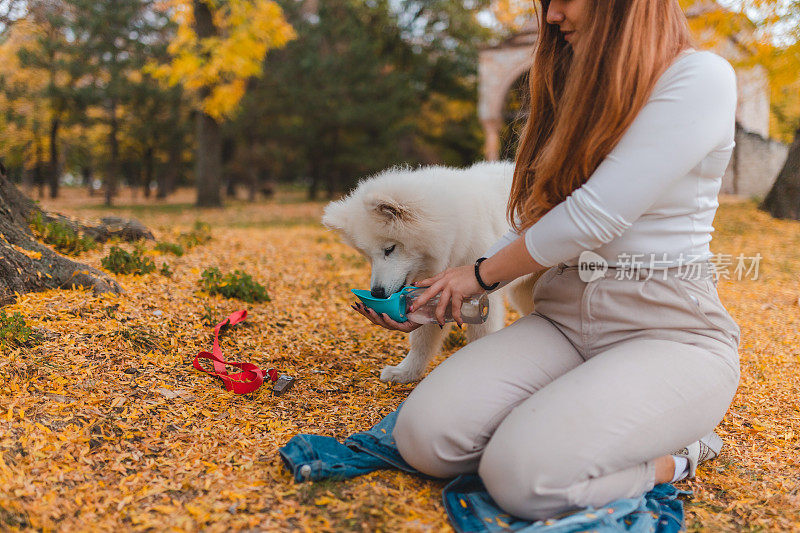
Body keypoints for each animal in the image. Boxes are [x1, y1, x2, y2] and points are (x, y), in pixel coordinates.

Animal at [318, 159, 536, 382]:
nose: (376, 292)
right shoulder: (434, 292)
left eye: (389, 249)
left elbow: (479, 335)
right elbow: (421, 339)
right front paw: (405, 373)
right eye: (368, 257)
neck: (456, 230)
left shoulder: (479, 294)